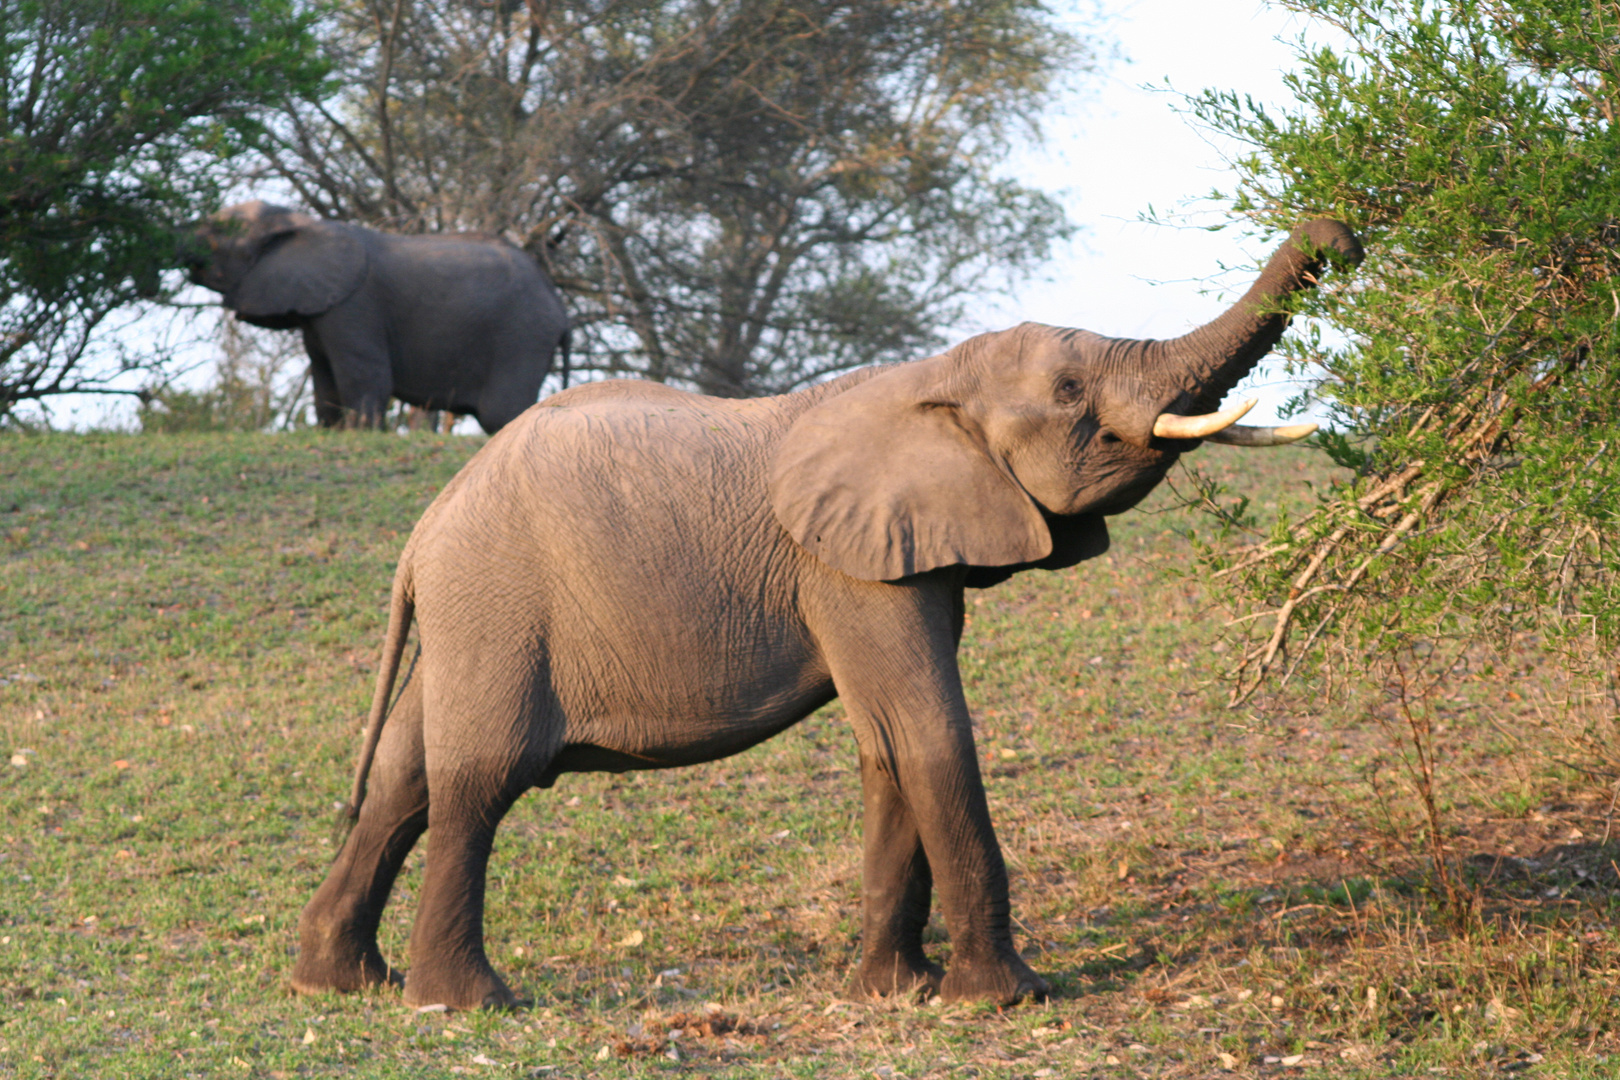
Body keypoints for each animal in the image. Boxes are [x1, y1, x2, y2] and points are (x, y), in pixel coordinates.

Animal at [186, 200, 570, 433]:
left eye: (219, 236)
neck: (300, 220)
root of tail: (557, 301)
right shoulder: (321, 311)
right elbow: (323, 375)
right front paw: (330, 432)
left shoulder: (355, 305)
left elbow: (362, 374)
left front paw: (360, 432)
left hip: (522, 335)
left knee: (501, 413)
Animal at [294, 220, 1367, 1016]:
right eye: (1070, 392)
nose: (1344, 233)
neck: (930, 379)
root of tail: (420, 537)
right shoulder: (845, 567)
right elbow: (929, 730)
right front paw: (1008, 999)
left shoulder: (906, 556)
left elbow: (887, 743)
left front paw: (897, 994)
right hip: (500, 603)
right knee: (480, 779)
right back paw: (468, 1004)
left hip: (471, 613)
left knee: (402, 777)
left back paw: (343, 984)